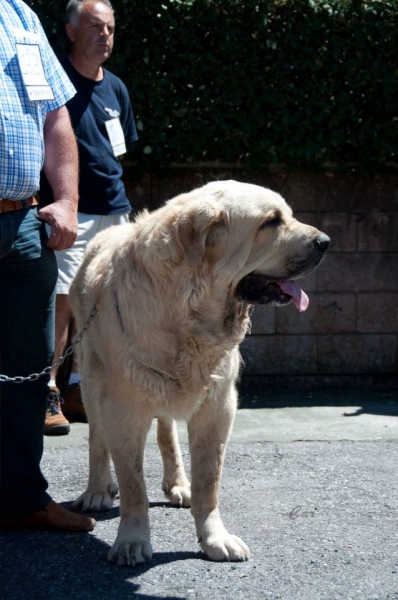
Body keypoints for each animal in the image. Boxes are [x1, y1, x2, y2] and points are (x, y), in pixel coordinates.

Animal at [69, 180, 330, 564]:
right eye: (271, 222)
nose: (326, 241)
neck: (188, 309)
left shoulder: (218, 407)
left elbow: (209, 481)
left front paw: (213, 538)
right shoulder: (124, 408)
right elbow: (133, 486)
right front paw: (132, 540)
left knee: (166, 431)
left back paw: (178, 483)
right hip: (90, 377)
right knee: (97, 438)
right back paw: (98, 490)